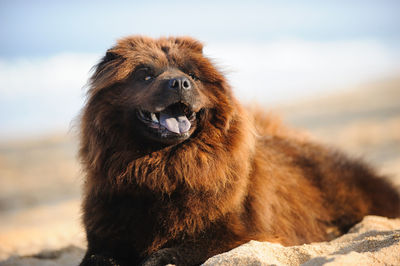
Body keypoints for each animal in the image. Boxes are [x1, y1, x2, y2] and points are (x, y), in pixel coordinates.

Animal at [79, 35, 400, 266]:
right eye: (145, 75)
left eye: (193, 76)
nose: (180, 82)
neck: (162, 170)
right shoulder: (106, 234)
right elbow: (98, 258)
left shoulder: (236, 233)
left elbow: (173, 253)